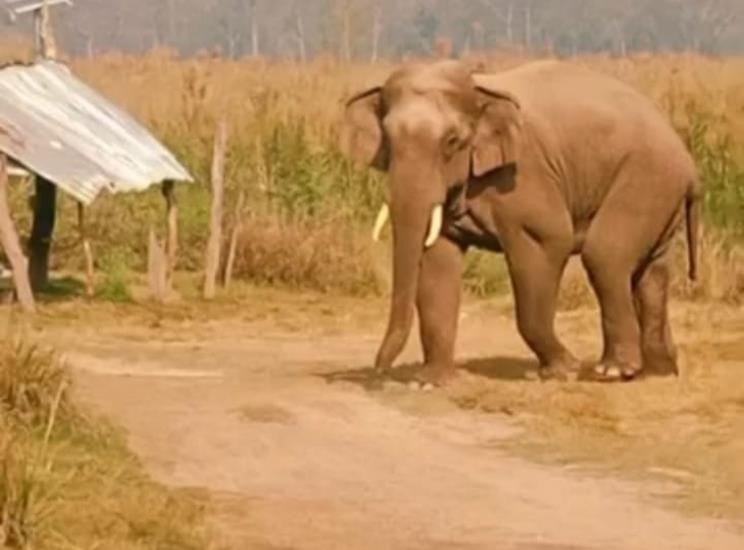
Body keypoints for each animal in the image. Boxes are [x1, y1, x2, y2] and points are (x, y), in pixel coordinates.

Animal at [340, 60, 699, 385]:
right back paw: (658, 372)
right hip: (661, 193)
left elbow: (547, 243)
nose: (379, 370)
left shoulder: (524, 178)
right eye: (388, 139)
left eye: (452, 141)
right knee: (651, 272)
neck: (479, 86)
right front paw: (431, 381)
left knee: (605, 256)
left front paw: (562, 370)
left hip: (646, 178)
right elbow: (436, 261)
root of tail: (687, 157)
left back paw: (614, 371)